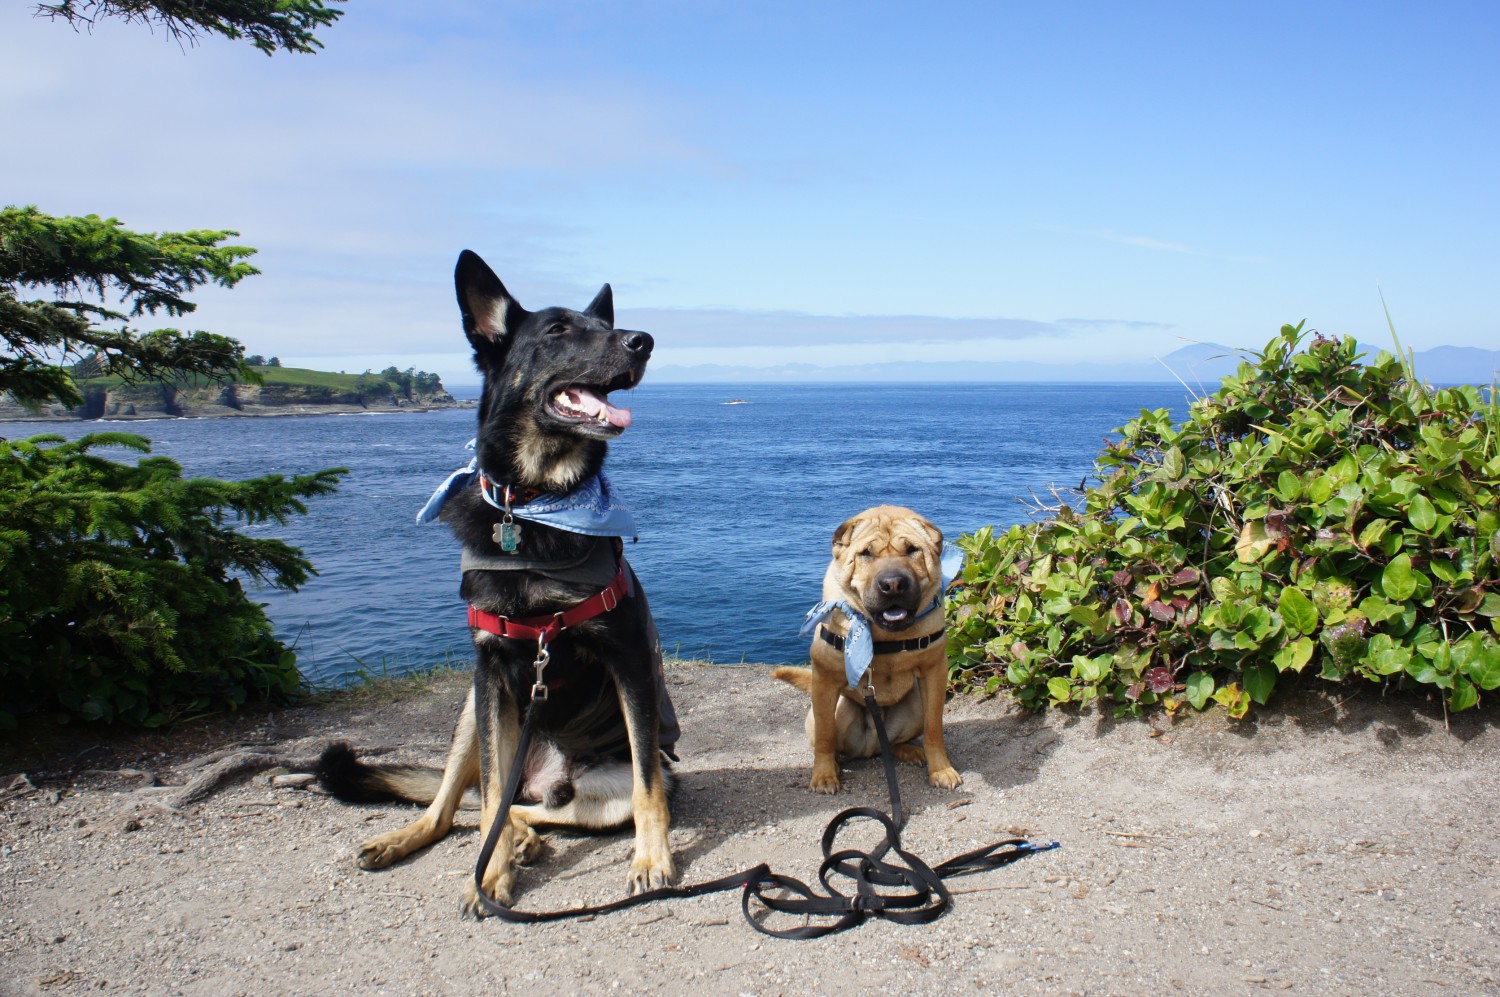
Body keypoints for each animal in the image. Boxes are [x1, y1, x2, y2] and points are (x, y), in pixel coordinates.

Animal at [316, 250, 681, 917]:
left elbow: (648, 788)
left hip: (592, 783)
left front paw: (650, 860)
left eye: (603, 325)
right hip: (473, 707)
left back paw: (528, 836)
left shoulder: (628, 662)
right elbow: (483, 799)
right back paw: (443, 840)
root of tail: (543, 774)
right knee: (467, 802)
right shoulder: (488, 670)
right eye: (558, 331)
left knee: (542, 807)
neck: (533, 505)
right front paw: (488, 875)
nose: (642, 340)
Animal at [774, 506, 960, 791]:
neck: (884, 635)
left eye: (912, 549)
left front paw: (940, 769)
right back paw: (835, 764)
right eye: (866, 553)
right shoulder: (824, 679)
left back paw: (909, 750)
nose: (893, 584)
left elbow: (934, 729)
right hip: (838, 708)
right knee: (830, 740)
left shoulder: (934, 671)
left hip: (915, 703)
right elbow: (825, 736)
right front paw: (824, 774)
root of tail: (871, 747)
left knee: (894, 743)